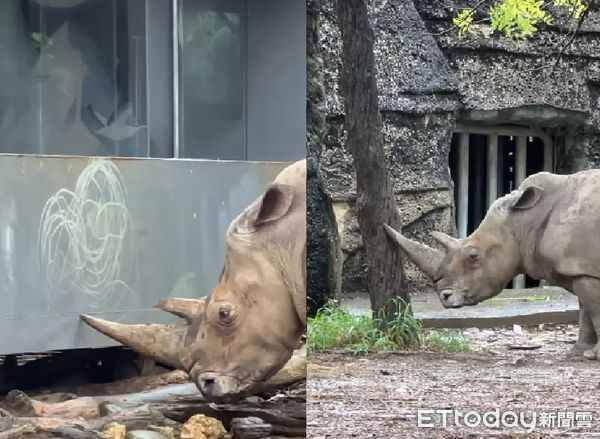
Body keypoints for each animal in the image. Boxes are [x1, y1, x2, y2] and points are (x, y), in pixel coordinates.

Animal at [382, 170, 600, 360]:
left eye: (473, 257)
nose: (444, 297)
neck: (525, 221)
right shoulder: (579, 268)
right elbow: (585, 311)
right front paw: (578, 353)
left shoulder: (583, 269)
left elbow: (594, 311)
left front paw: (594, 356)